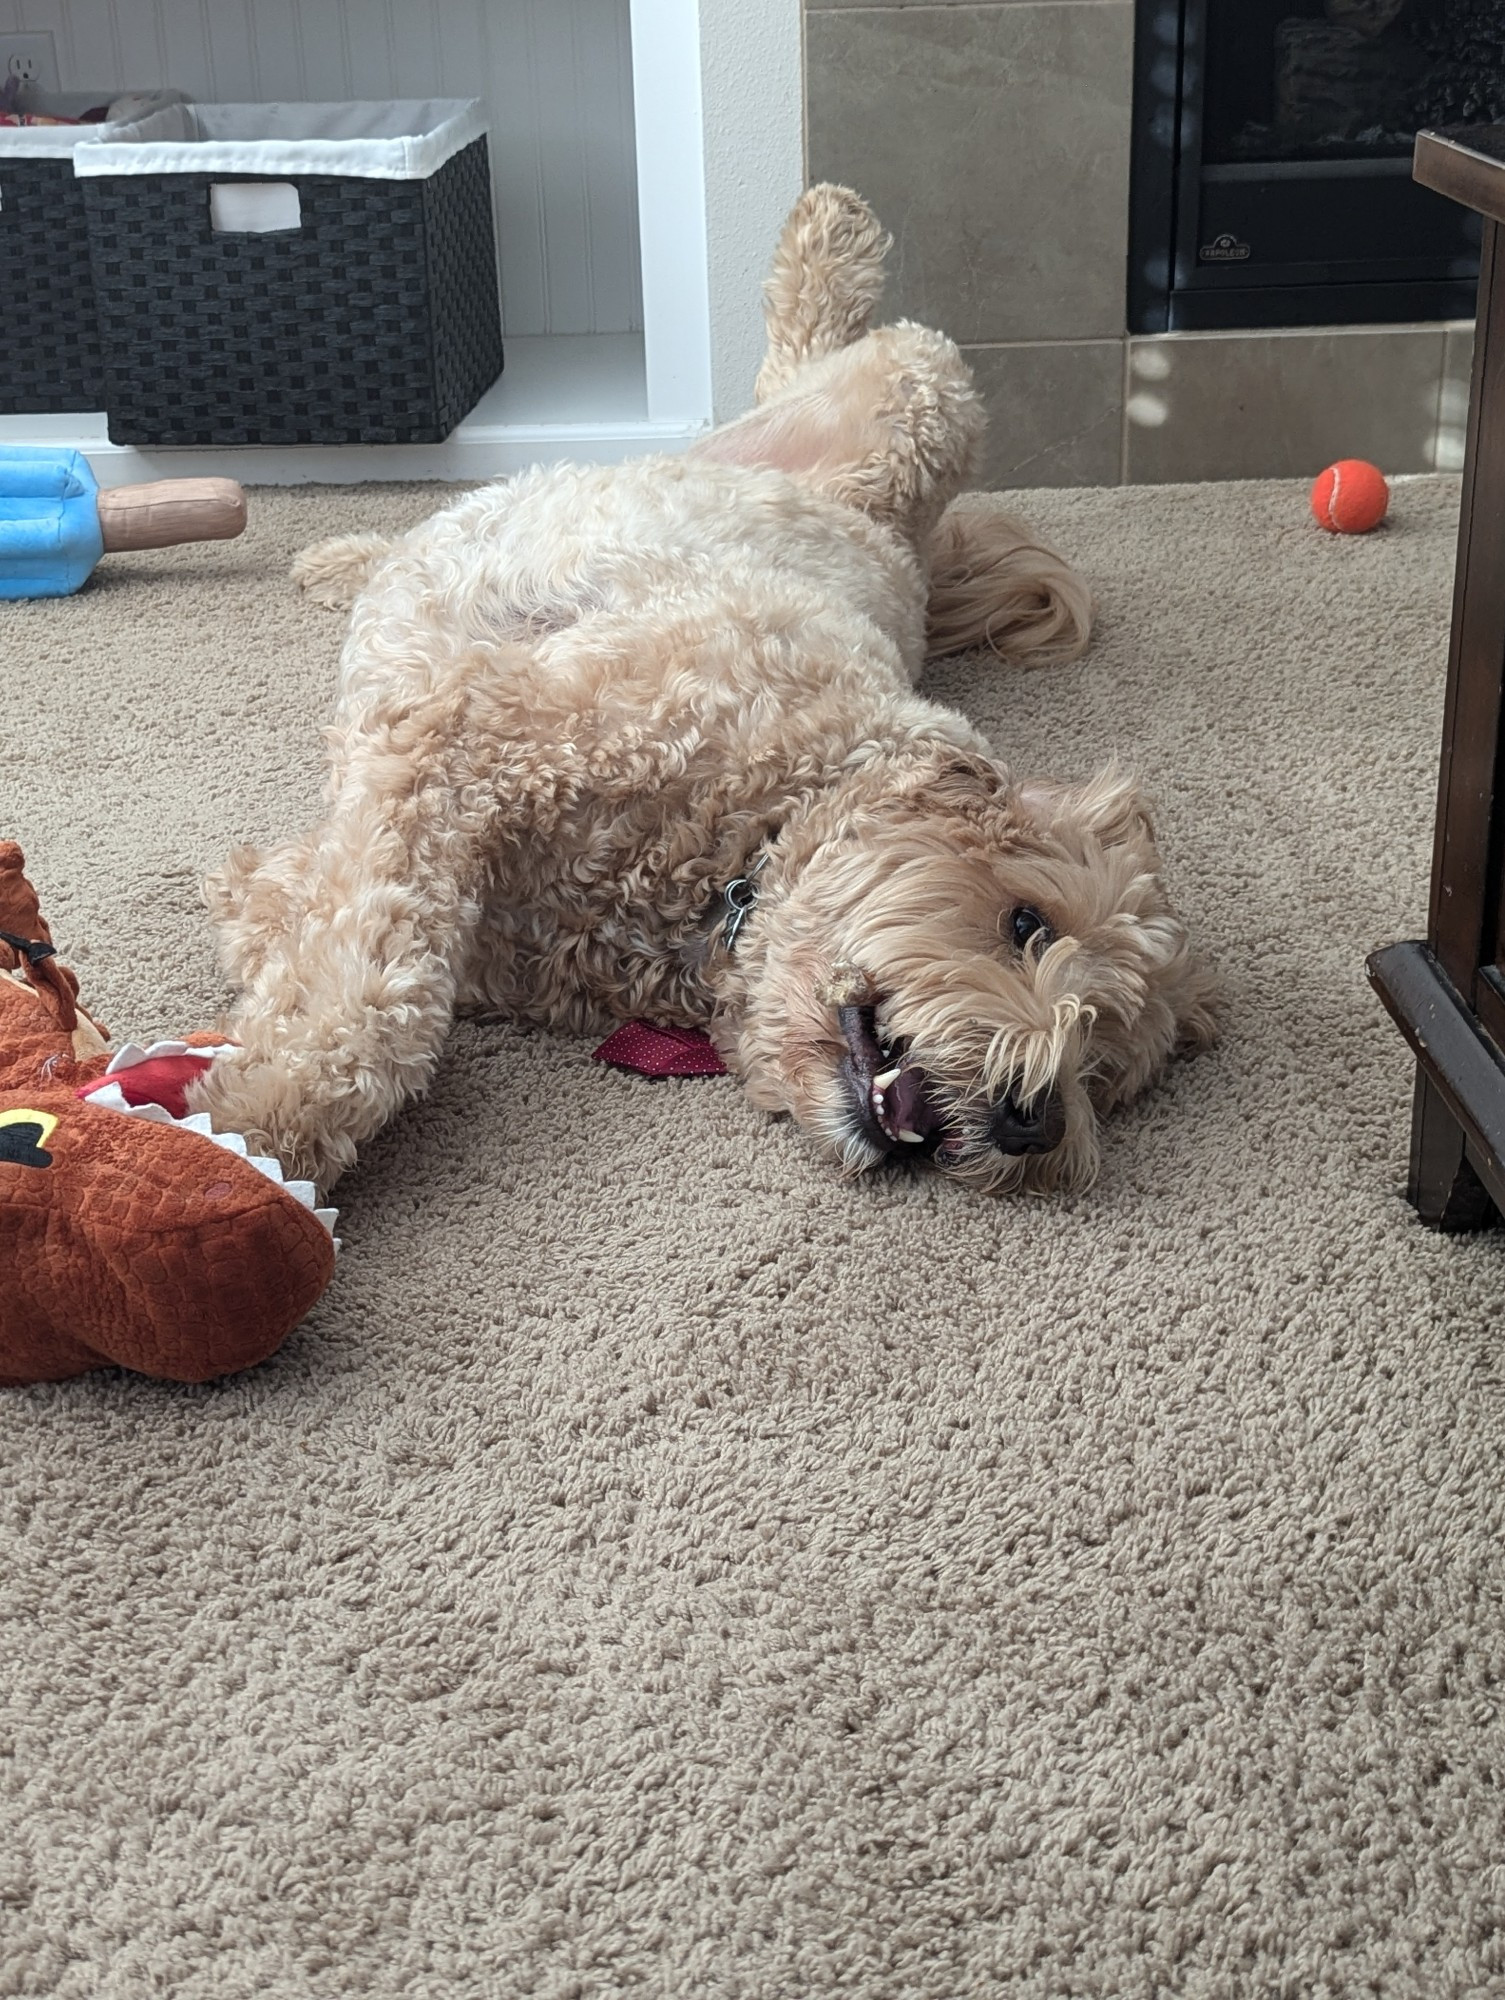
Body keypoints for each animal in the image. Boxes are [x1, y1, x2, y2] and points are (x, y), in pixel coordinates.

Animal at [191, 184, 1224, 1184]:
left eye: (1101, 1062)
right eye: (1025, 922)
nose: (1030, 1119)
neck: (745, 848)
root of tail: (892, 536)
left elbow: (302, 922)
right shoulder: (458, 744)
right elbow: (378, 991)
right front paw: (264, 1123)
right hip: (915, 396)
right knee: (808, 351)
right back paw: (829, 223)